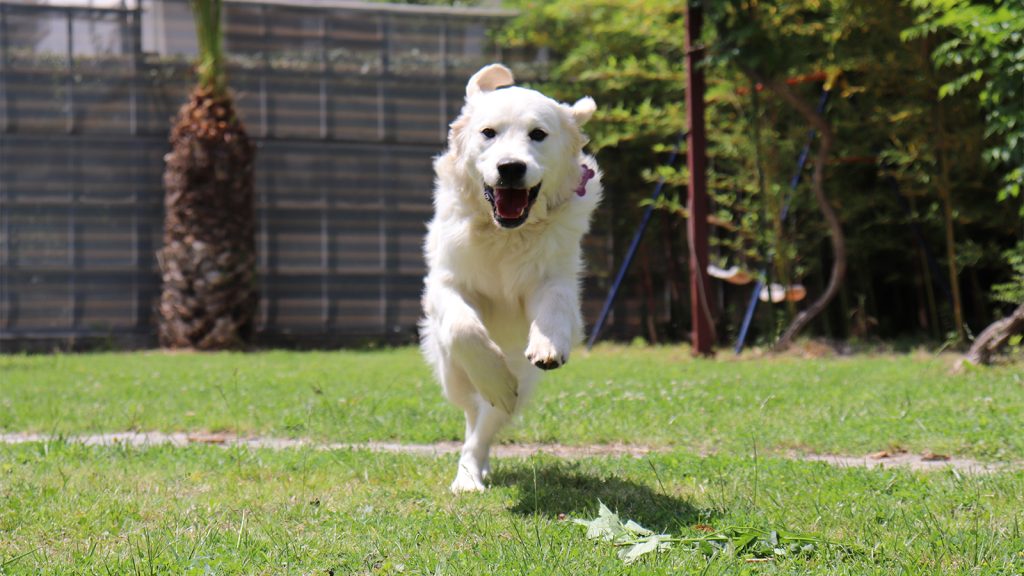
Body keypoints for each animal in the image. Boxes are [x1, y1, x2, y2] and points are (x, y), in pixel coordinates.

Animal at [419, 65, 602, 491]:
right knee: (472, 409)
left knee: (486, 422)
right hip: (451, 374)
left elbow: (554, 303)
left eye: (538, 134)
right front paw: (494, 378)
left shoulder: (554, 277)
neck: (504, 234)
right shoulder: (446, 283)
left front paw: (549, 345)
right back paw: (471, 470)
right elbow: (464, 328)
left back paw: (474, 468)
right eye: (489, 132)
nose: (511, 167)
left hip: (521, 375)